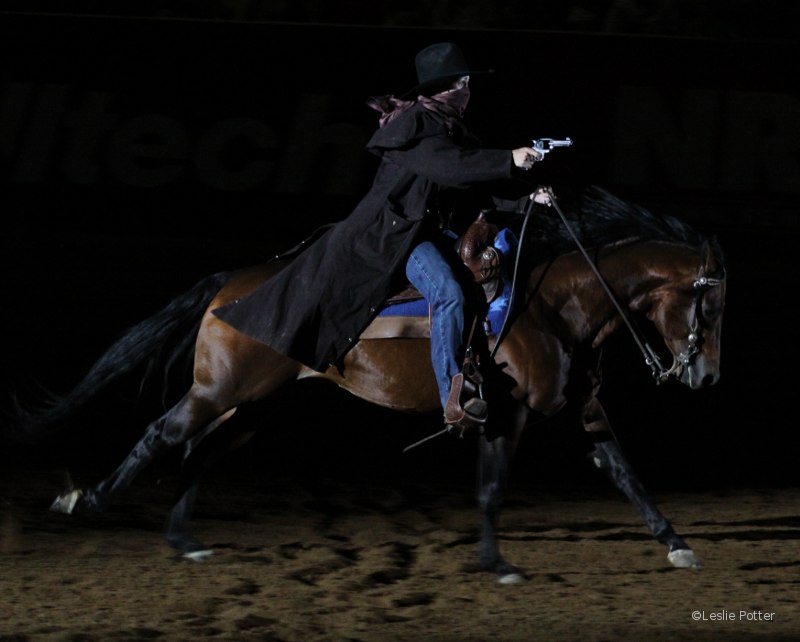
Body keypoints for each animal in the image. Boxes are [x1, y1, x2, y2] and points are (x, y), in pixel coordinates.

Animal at [7, 184, 732, 580]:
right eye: (709, 305)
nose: (705, 375)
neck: (554, 303)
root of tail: (231, 283)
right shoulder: (509, 412)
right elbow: (493, 487)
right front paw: (497, 565)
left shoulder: (581, 407)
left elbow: (626, 473)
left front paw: (678, 546)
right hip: (221, 390)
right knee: (164, 433)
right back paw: (86, 502)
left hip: (258, 403)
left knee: (201, 452)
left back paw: (184, 540)